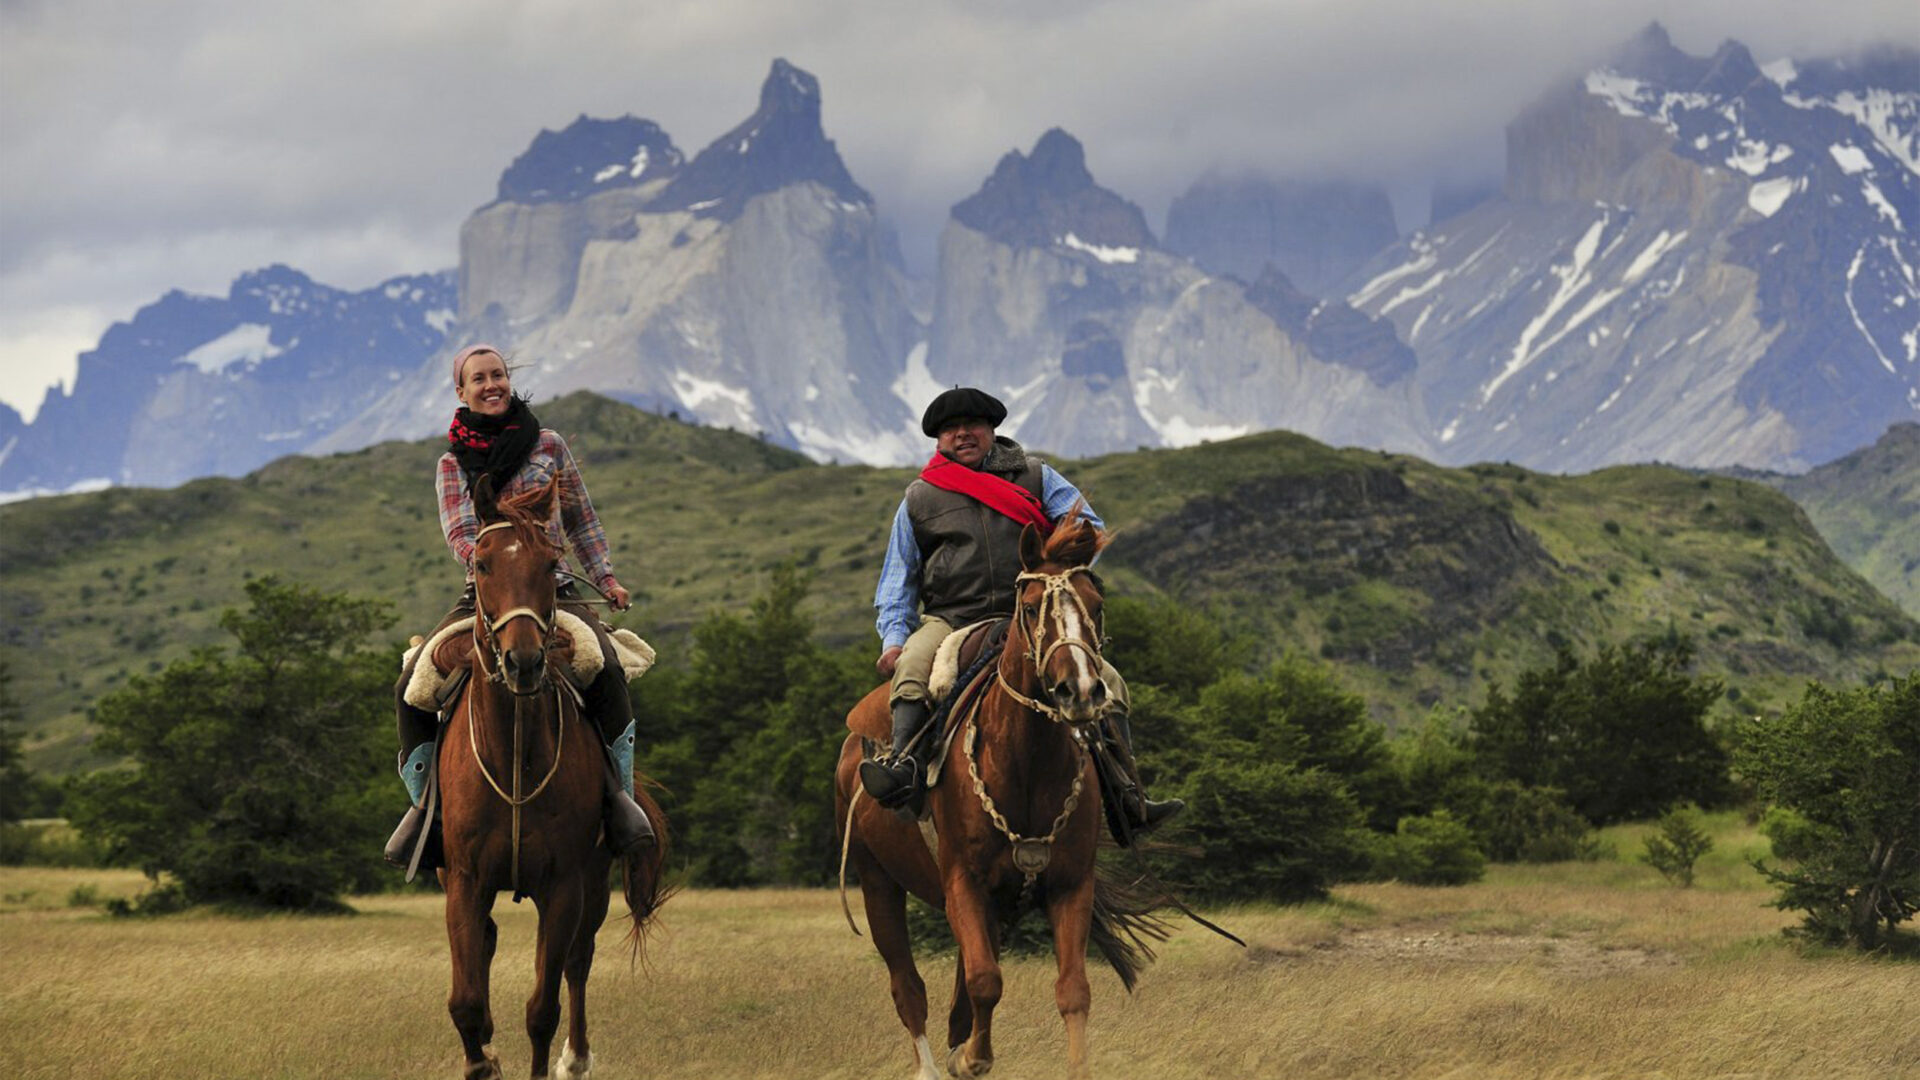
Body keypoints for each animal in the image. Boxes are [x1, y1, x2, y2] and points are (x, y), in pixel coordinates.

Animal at [432, 477, 669, 1080]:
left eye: (549, 563)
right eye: (483, 564)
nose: (523, 662)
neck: (515, 755)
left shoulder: (564, 885)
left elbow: (544, 1007)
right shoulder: (464, 880)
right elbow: (465, 1002)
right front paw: (482, 1059)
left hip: (594, 883)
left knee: (577, 965)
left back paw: (577, 1058)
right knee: (488, 944)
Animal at [835, 514, 1164, 1080]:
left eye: (1096, 605)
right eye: (1030, 608)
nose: (1080, 691)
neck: (1026, 763)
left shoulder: (1068, 886)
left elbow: (1070, 991)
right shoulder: (963, 883)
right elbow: (986, 982)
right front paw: (972, 1059)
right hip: (878, 882)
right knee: (909, 987)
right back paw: (933, 1065)